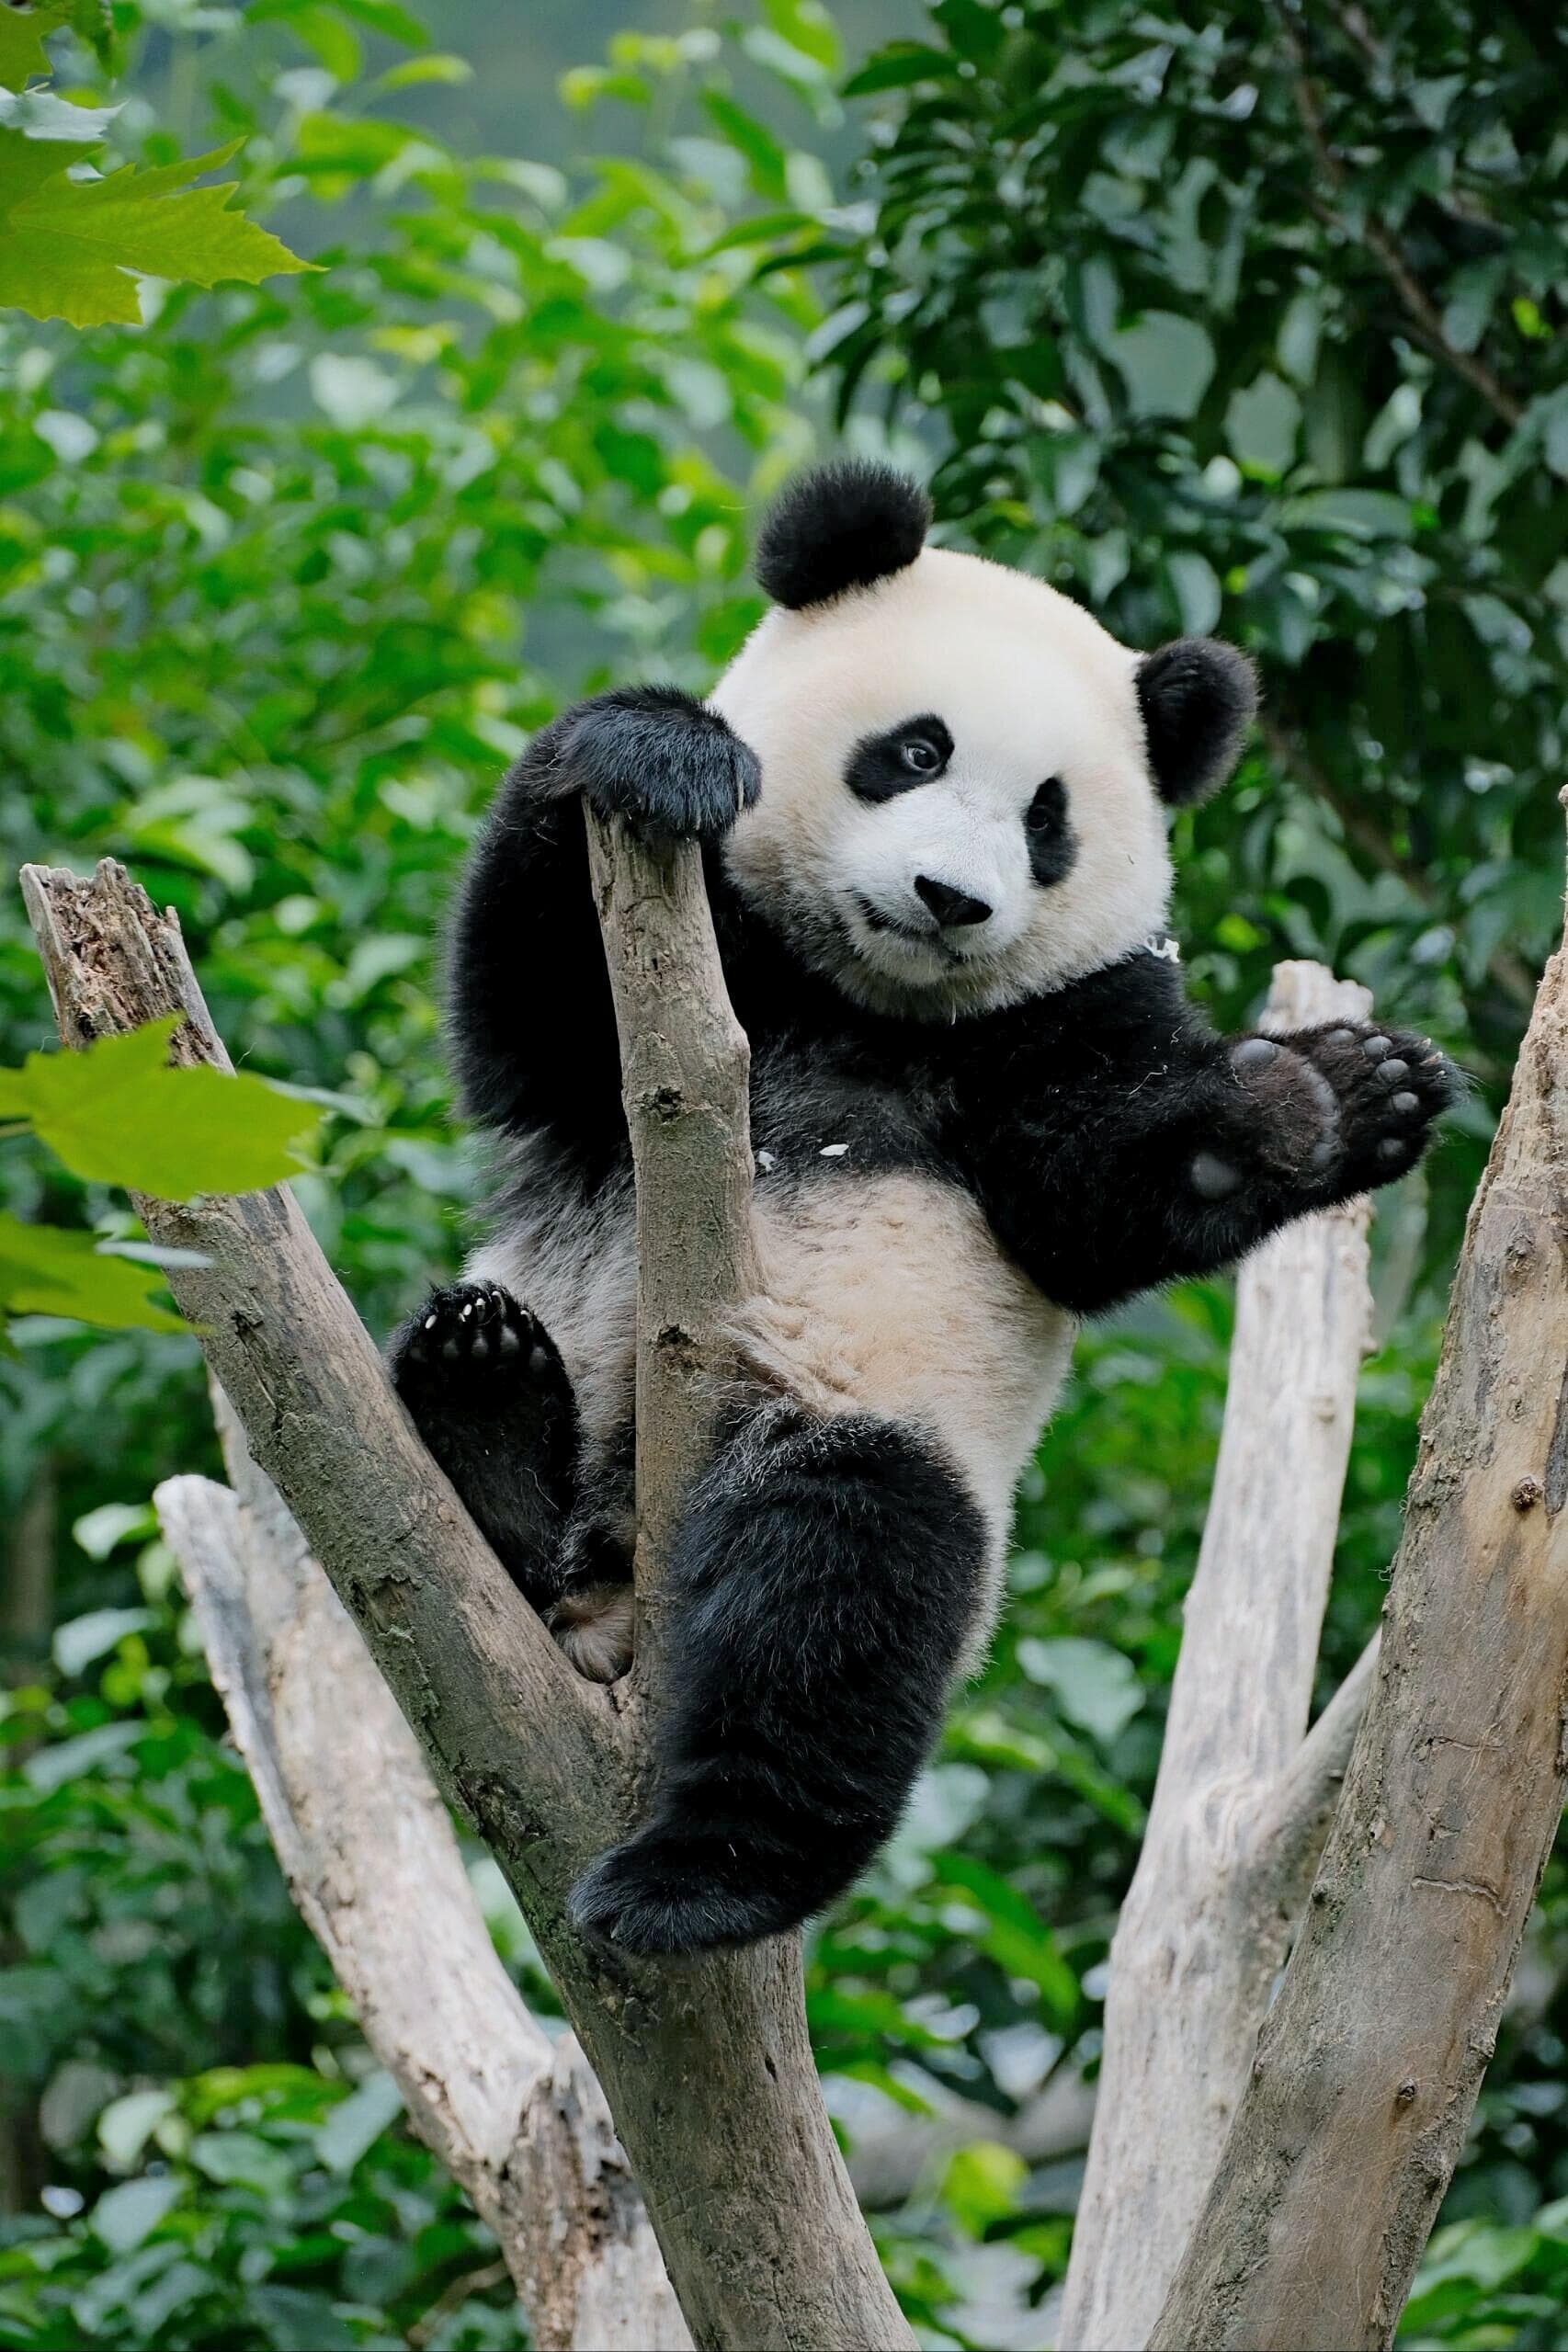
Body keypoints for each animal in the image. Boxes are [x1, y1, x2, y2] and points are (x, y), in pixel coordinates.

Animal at [389, 460, 1456, 1959]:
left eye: (1047, 817)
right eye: (914, 752)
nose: (950, 899)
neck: (868, 1003)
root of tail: (610, 1596)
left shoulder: (1067, 1023)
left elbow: (1087, 1204)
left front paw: (1328, 1102)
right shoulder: (667, 1006)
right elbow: (521, 1009)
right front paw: (654, 749)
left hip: (870, 1409)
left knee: (838, 1589)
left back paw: (699, 1876)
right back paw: (481, 1401)